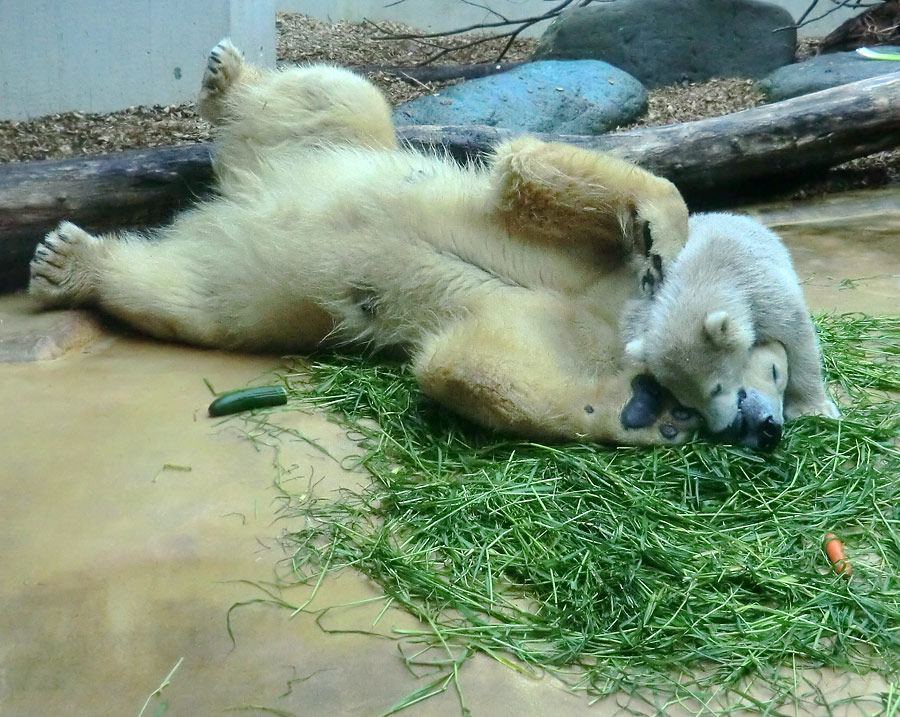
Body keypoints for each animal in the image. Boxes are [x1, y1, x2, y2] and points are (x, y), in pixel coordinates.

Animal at [28, 39, 780, 444]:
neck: (619, 311)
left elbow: (471, 365)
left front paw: (647, 413)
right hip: (332, 146)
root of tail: (238, 193)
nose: (767, 428)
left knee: (186, 292)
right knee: (342, 95)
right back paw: (226, 77)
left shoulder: (561, 330)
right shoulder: (591, 263)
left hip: (239, 273)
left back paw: (73, 261)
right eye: (770, 367)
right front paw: (662, 234)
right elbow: (530, 171)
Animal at [624, 211, 840, 430]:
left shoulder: (768, 299)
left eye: (717, 388)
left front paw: (814, 408)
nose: (724, 426)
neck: (704, 274)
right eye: (688, 403)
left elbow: (799, 340)